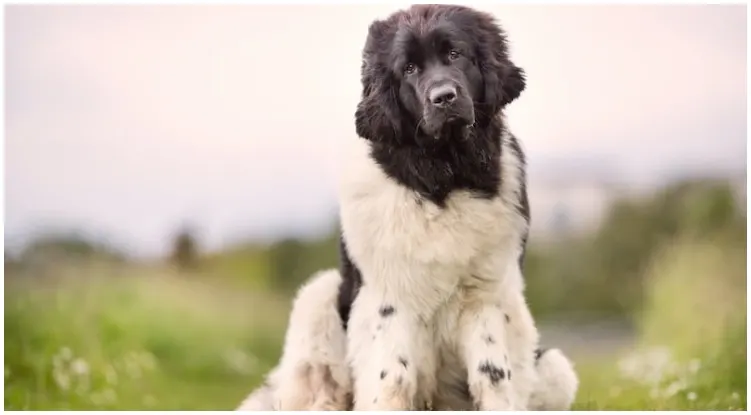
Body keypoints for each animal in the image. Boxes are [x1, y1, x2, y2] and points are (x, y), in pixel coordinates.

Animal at [238, 4, 580, 412]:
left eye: (455, 54)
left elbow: (492, 373)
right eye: (410, 69)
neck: (442, 177)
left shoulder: (485, 293)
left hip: (555, 369)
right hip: (318, 298)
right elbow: (393, 375)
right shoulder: (390, 293)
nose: (443, 97)